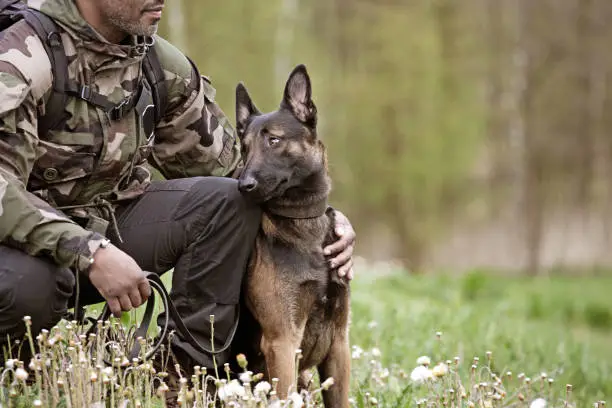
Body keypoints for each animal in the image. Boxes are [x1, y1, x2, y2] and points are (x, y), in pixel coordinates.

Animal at [230, 65, 352, 406]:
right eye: (245, 148)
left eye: (274, 140)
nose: (243, 185)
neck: (302, 222)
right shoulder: (282, 342)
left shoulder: (339, 344)